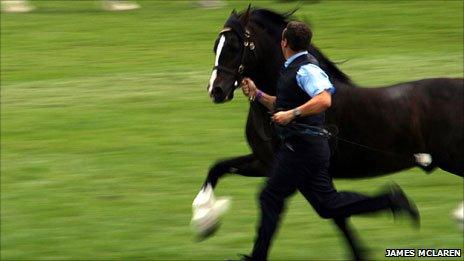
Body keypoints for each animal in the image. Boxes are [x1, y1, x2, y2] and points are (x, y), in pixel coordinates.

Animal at [191, 6, 460, 260]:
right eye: (216, 46)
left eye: (235, 46)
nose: (216, 91)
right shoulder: (266, 163)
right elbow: (218, 168)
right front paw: (206, 221)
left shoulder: (299, 171)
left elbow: (331, 211)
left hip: (454, 159)